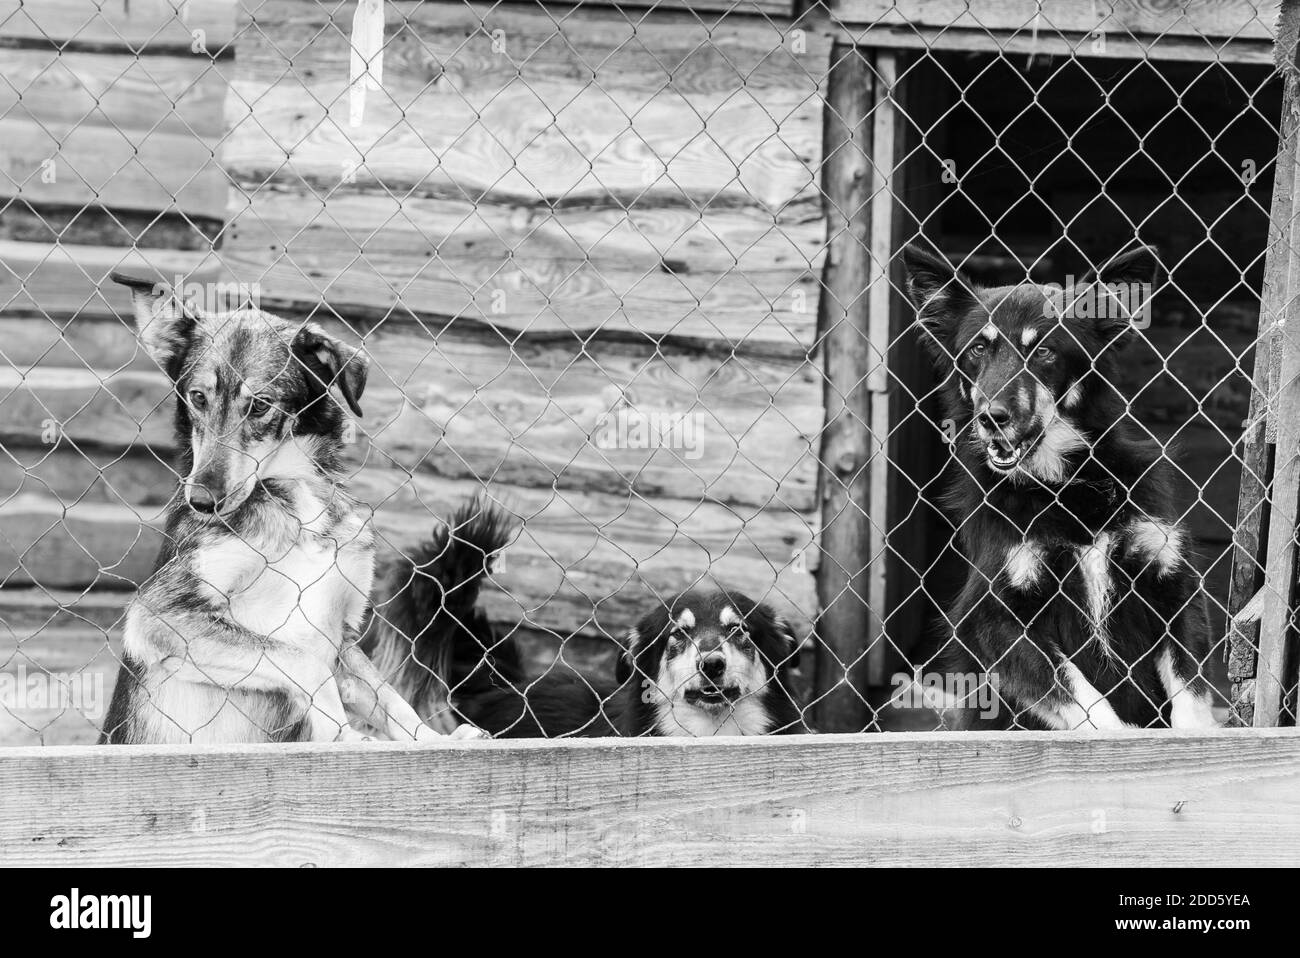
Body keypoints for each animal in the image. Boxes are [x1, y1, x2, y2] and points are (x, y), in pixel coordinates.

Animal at [96, 272, 483, 743]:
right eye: (198, 397)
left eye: (260, 405)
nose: (202, 502)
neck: (296, 498)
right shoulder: (158, 614)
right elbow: (302, 660)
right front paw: (343, 735)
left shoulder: (342, 635)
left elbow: (387, 695)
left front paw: (430, 738)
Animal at [904, 243, 1216, 727]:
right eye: (978, 349)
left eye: (1045, 352)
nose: (992, 418)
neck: (1062, 484)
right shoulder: (992, 618)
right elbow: (1083, 698)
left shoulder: (1171, 581)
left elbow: (1190, 689)